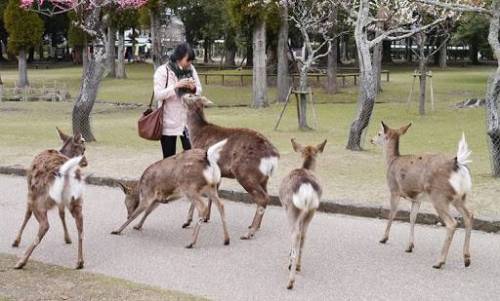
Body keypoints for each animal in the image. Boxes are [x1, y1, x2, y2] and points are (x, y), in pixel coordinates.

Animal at [11, 127, 88, 268]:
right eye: (83, 148)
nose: (85, 162)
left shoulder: (29, 193)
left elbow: (27, 214)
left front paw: (16, 241)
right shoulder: (61, 201)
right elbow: (61, 214)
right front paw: (67, 238)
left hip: (39, 198)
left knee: (45, 225)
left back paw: (22, 261)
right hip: (76, 198)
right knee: (80, 222)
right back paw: (80, 261)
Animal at [182, 94, 280, 239]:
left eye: (190, 95)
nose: (181, 94)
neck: (197, 135)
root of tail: (273, 156)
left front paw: (187, 221)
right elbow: (213, 194)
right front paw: (206, 217)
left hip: (245, 172)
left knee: (263, 198)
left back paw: (249, 232)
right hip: (264, 178)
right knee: (265, 196)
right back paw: (254, 226)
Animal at [280, 138, 326, 288]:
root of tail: (306, 188)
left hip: (292, 209)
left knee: (295, 234)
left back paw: (290, 280)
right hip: (312, 210)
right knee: (303, 235)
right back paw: (298, 266)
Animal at [372, 122, 472, 270]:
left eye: (379, 133)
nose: (371, 140)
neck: (392, 161)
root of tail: (458, 164)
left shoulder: (394, 190)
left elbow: (392, 214)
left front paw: (383, 238)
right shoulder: (416, 199)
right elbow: (412, 218)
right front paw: (409, 246)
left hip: (439, 196)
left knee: (452, 223)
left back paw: (439, 262)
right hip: (460, 197)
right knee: (469, 215)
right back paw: (466, 259)